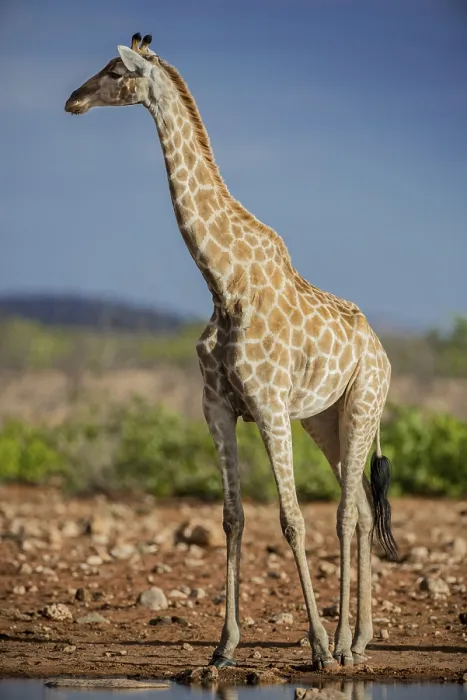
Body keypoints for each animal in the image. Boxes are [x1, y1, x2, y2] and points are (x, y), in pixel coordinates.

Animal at [65, 33, 399, 670]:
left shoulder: (268, 406)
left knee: (347, 512)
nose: (73, 99)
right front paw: (224, 648)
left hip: (363, 405)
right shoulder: (217, 407)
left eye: (116, 70)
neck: (223, 281)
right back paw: (361, 639)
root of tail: (381, 350)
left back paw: (342, 646)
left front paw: (317, 648)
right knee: (364, 512)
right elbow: (232, 517)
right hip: (324, 419)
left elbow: (291, 519)